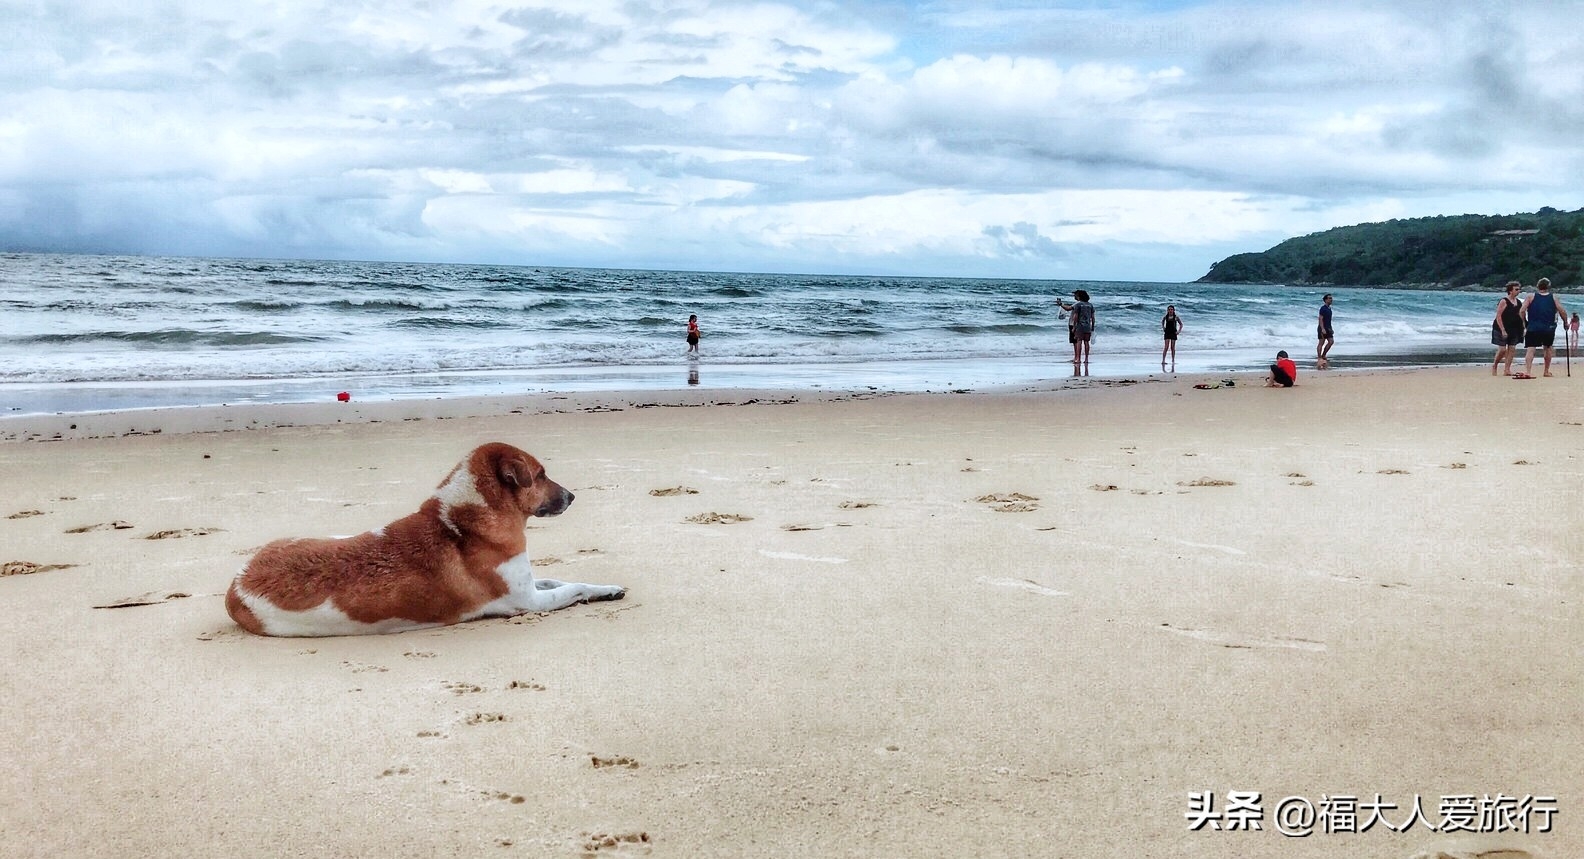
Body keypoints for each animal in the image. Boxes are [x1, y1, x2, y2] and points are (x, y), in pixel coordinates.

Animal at [226, 443, 620, 640]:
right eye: (541, 475)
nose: (572, 496)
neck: (464, 523)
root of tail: (237, 585)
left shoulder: (529, 584)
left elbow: (562, 579)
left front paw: (604, 588)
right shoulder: (529, 602)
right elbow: (571, 588)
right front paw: (603, 590)